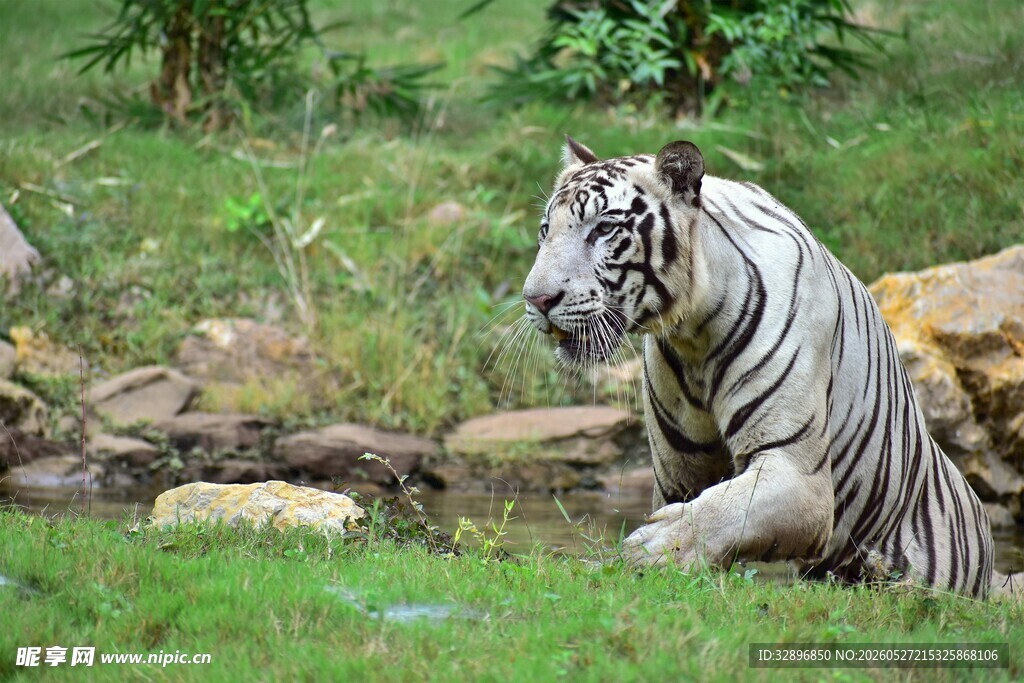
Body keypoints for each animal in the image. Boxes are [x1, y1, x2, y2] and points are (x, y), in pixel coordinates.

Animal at [522, 136, 994, 598]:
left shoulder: (797, 472)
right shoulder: (678, 474)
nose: (536, 299)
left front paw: (652, 550)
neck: (692, 333)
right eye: (546, 231)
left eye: (604, 229)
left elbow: (729, 510)